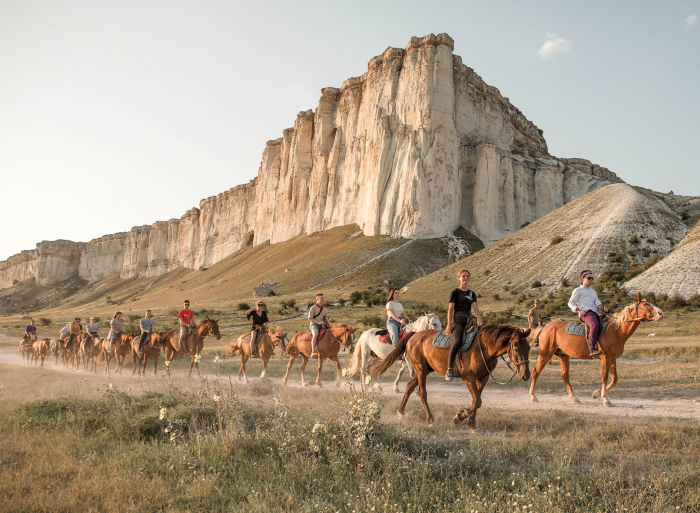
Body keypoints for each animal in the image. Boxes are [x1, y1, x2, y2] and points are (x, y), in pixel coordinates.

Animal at [372, 324, 532, 428]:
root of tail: (414, 335)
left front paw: (471, 424)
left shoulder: (483, 378)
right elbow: (477, 401)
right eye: (516, 347)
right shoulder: (468, 379)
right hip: (420, 369)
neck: (483, 348)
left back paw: (401, 412)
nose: (525, 375)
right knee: (422, 393)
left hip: (425, 370)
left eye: (529, 347)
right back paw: (430, 419)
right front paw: (459, 416)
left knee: (409, 387)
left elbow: (477, 401)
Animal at [528, 294, 664, 406]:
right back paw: (533, 397)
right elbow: (605, 377)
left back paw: (574, 398)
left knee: (565, 375)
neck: (616, 330)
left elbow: (615, 379)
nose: (661, 313)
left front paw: (596, 394)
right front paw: (605, 399)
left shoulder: (613, 358)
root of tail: (545, 327)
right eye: (646, 304)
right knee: (535, 371)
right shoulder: (605, 358)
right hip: (545, 354)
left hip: (563, 355)